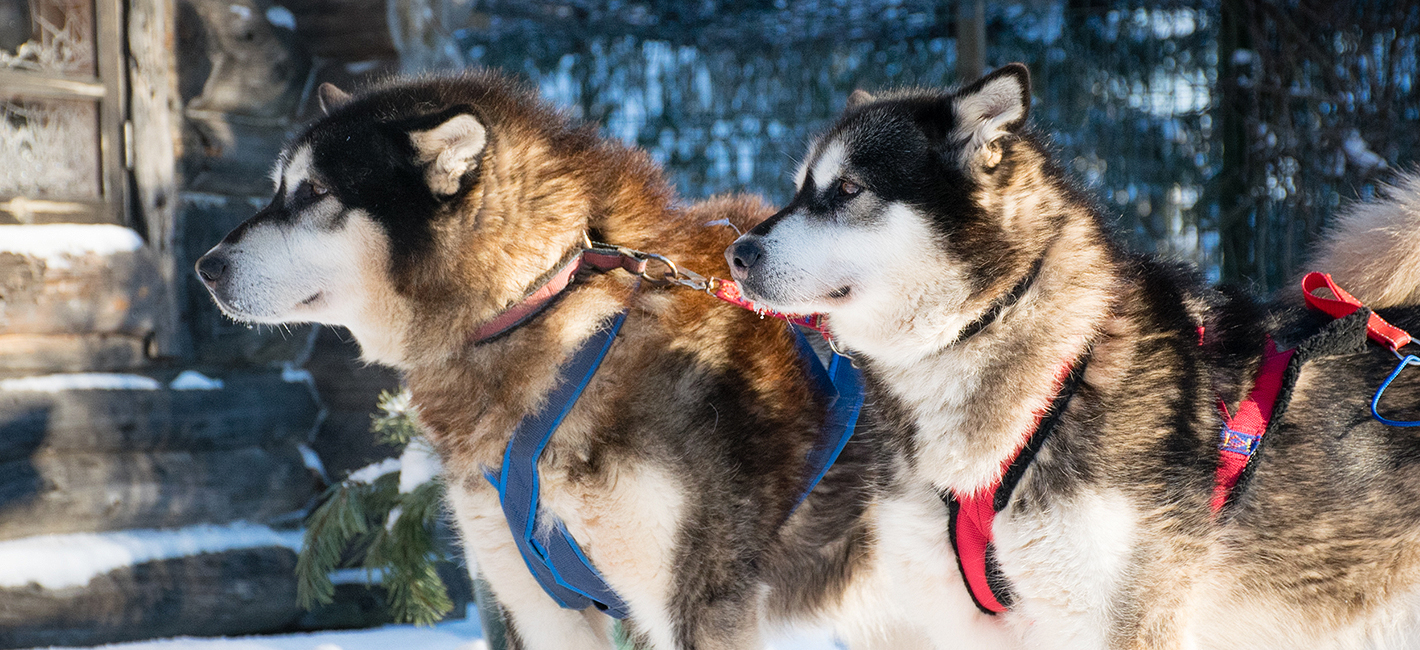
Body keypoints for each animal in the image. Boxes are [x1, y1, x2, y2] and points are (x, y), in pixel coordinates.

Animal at [194, 70, 1016, 650]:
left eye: (313, 192)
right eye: (278, 187)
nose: (205, 266)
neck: (549, 300)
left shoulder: (696, 605)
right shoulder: (535, 608)